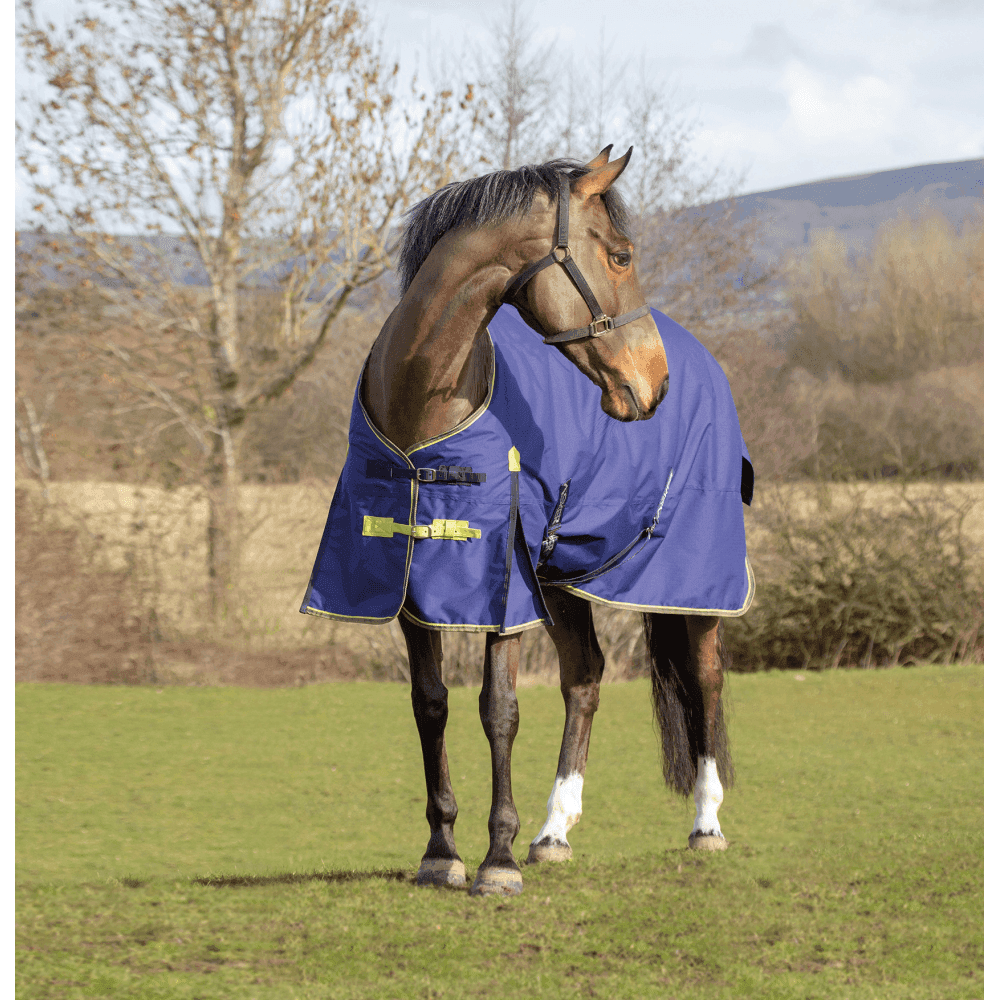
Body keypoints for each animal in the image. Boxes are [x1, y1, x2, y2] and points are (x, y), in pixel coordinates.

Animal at [302, 147, 754, 897]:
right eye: (622, 256)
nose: (653, 382)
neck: (422, 410)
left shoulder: (501, 589)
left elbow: (499, 710)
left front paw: (498, 861)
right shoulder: (410, 589)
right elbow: (431, 704)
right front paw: (442, 852)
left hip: (691, 580)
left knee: (706, 678)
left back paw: (706, 823)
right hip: (565, 574)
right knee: (587, 678)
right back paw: (553, 832)